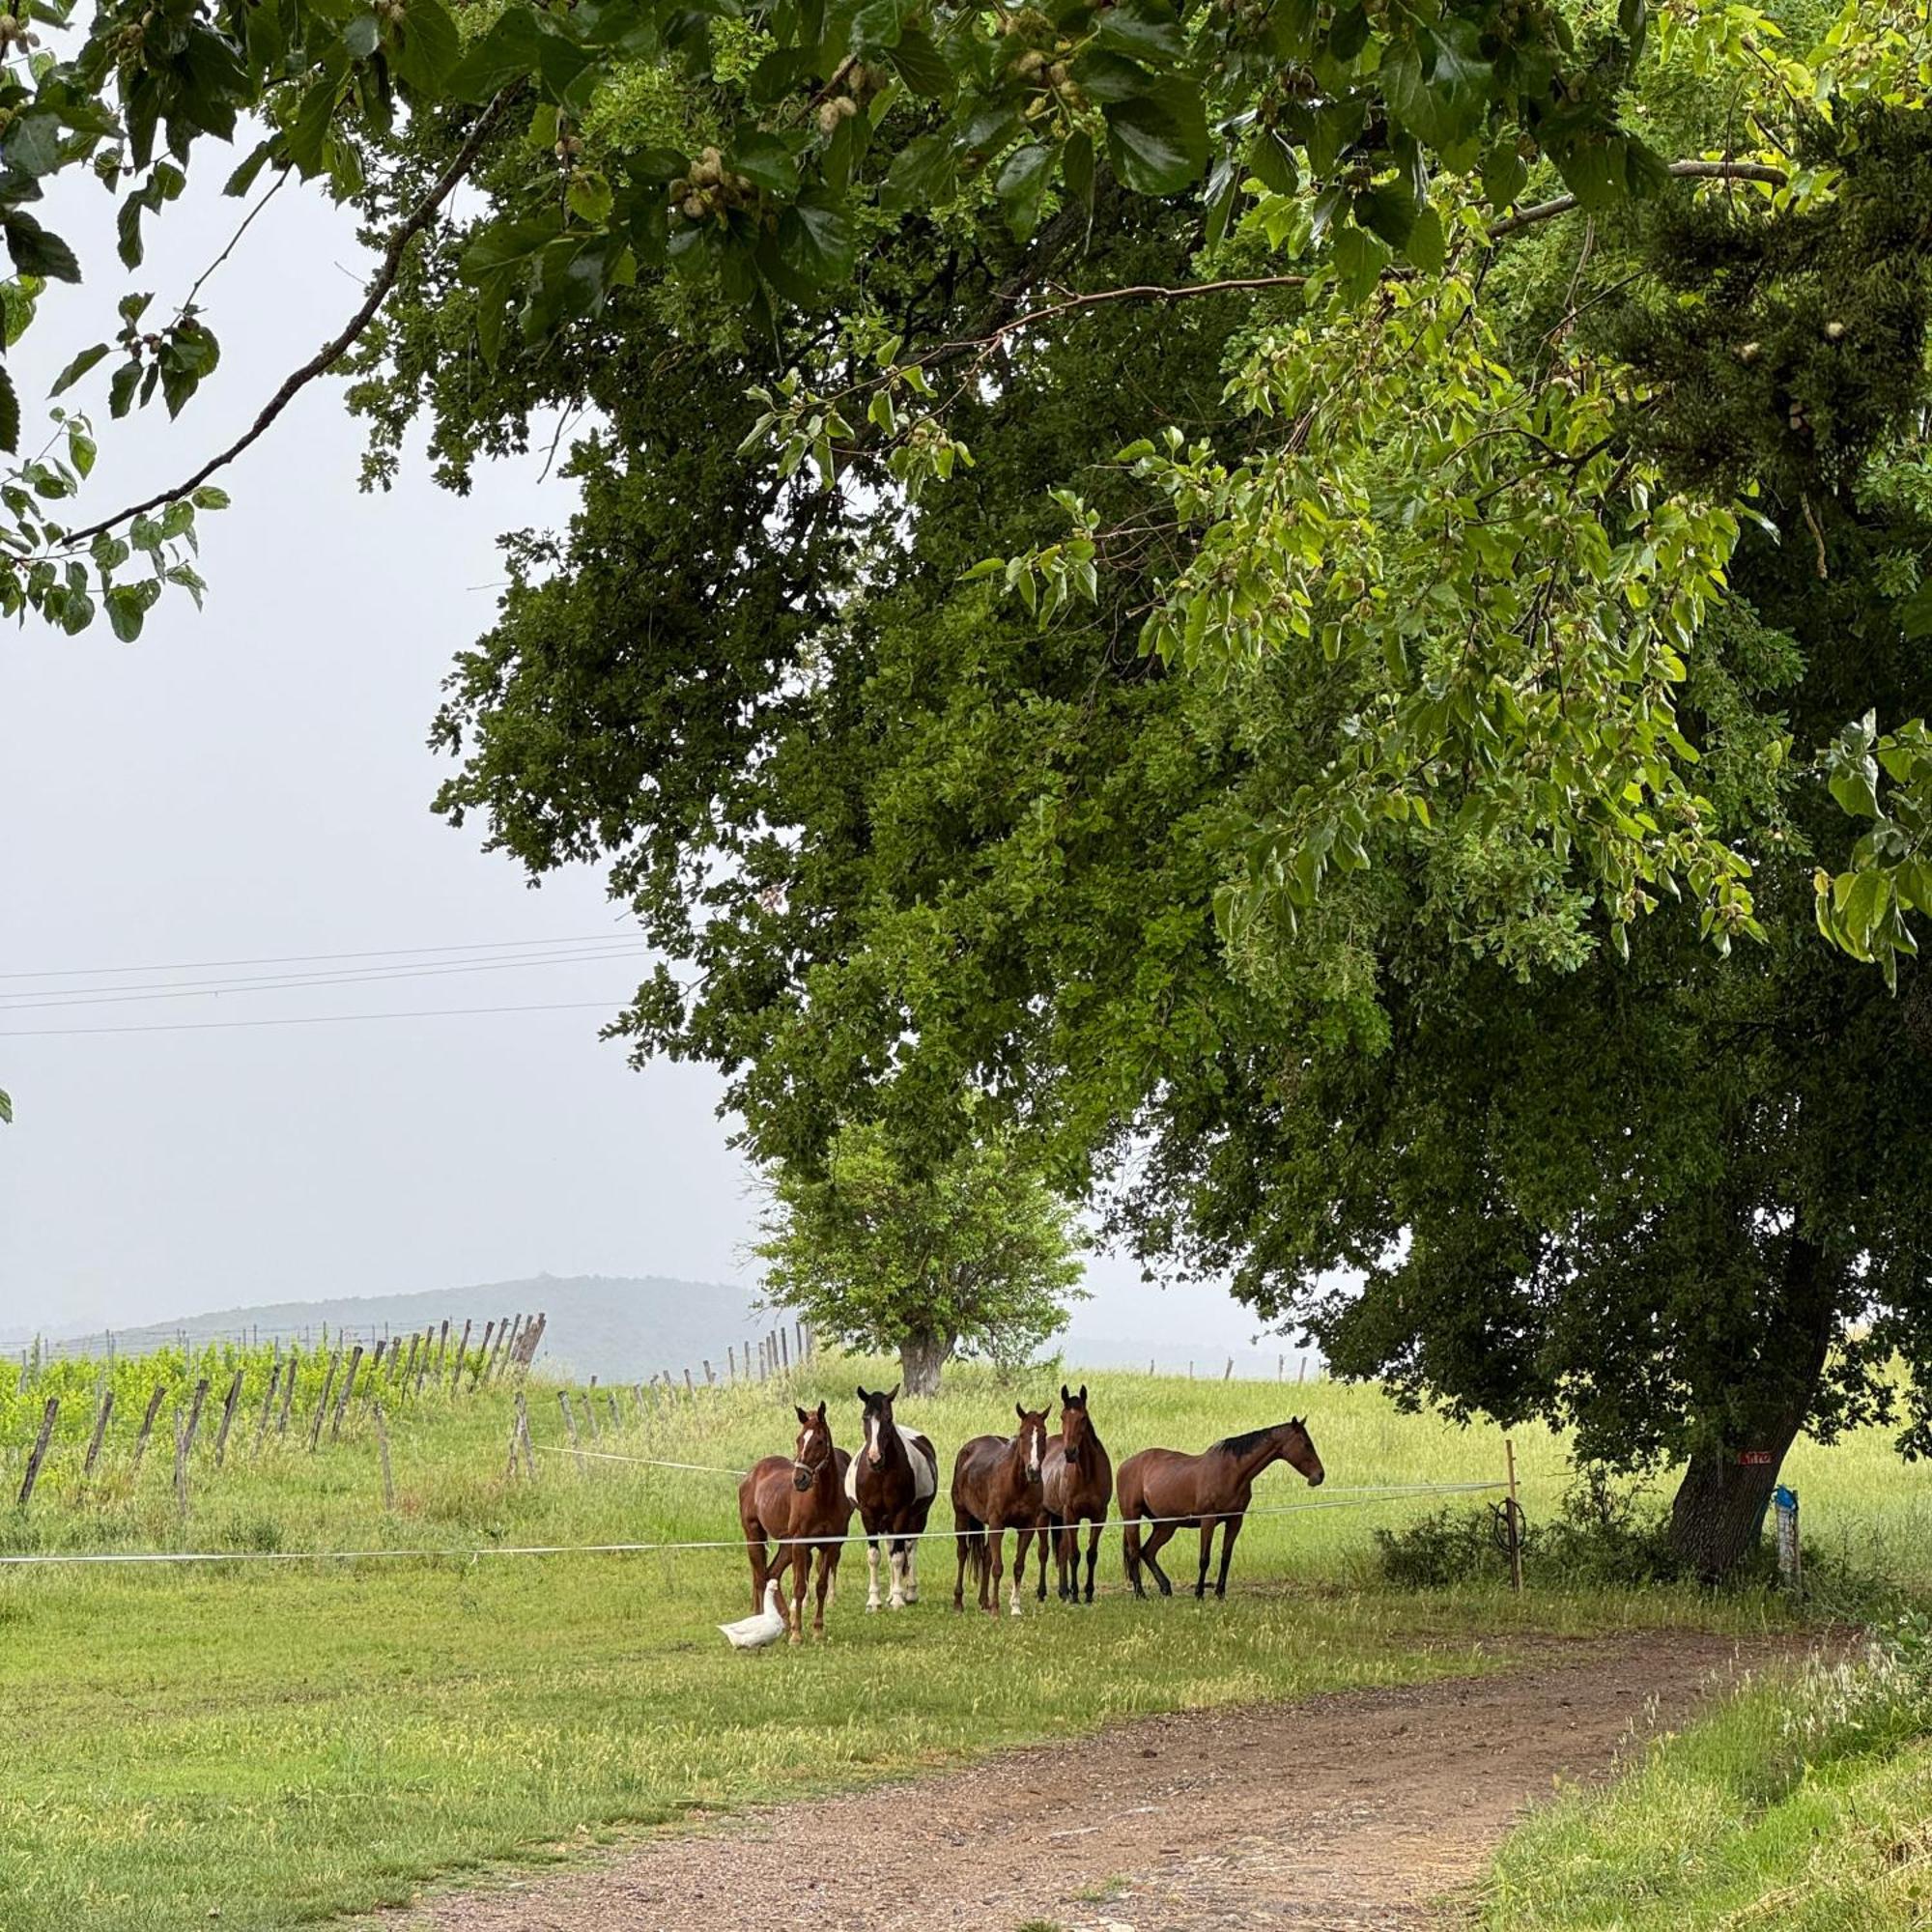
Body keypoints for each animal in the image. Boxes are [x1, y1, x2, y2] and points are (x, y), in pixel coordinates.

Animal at [738, 1406, 854, 1646]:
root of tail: (751, 1474)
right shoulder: (801, 1545)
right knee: (760, 1576)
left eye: (819, 1441)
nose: (799, 1479)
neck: (823, 1499)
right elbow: (800, 1587)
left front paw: (817, 1631)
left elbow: (821, 1586)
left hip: (785, 1545)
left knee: (771, 1573)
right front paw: (797, 1634)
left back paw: (784, 1619)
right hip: (755, 1536)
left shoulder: (830, 1545)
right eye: (799, 1439)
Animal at [850, 1383, 939, 1607]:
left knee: (909, 1547)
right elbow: (875, 1556)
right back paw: (890, 1593)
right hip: (885, 1522)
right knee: (891, 1548)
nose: (874, 1458)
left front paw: (898, 1599)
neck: (881, 1474)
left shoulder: (901, 1513)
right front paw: (874, 1600)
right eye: (865, 1417)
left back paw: (910, 1592)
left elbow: (899, 1557)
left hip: (917, 1518)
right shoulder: (869, 1515)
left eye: (888, 1418)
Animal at [947, 1406, 1051, 1615]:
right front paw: (996, 1608)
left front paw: (1015, 1607)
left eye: (1044, 1434)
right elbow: (998, 1567)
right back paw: (959, 1603)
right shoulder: (997, 1524)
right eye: (1022, 1434)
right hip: (962, 1517)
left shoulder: (1027, 1528)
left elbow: (1018, 1566)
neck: (1017, 1484)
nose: (1033, 1471)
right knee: (962, 1553)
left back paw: (983, 1601)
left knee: (986, 1555)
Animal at [1036, 1383, 1113, 1607]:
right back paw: (1042, 1592)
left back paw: (1063, 1592)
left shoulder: (1099, 1516)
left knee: (1061, 1552)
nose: (1069, 1452)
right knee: (1044, 1552)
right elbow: (1074, 1555)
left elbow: (1091, 1554)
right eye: (1062, 1416)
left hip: (1059, 1518)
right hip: (1044, 1515)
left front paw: (1088, 1593)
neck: (1086, 1473)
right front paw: (1077, 1593)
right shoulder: (1072, 1515)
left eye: (1083, 1418)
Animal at [1121, 1422, 1329, 1600]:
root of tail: (1126, 1464)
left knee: (1148, 1552)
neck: (1232, 1472)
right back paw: (1140, 1594)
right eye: (1306, 1444)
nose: (1319, 1475)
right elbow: (1204, 1558)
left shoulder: (1235, 1520)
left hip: (1166, 1525)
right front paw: (1199, 1593)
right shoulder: (1209, 1520)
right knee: (1134, 1553)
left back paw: (1165, 1588)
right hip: (1133, 1519)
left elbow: (1225, 1557)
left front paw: (1220, 1593)